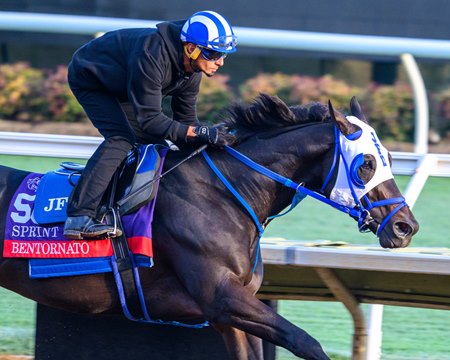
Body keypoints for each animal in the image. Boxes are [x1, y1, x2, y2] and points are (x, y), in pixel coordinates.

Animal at [0, 95, 418, 360]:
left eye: (389, 157)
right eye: (365, 164)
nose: (406, 227)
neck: (223, 193)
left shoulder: (230, 316)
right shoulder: (221, 298)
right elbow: (306, 342)